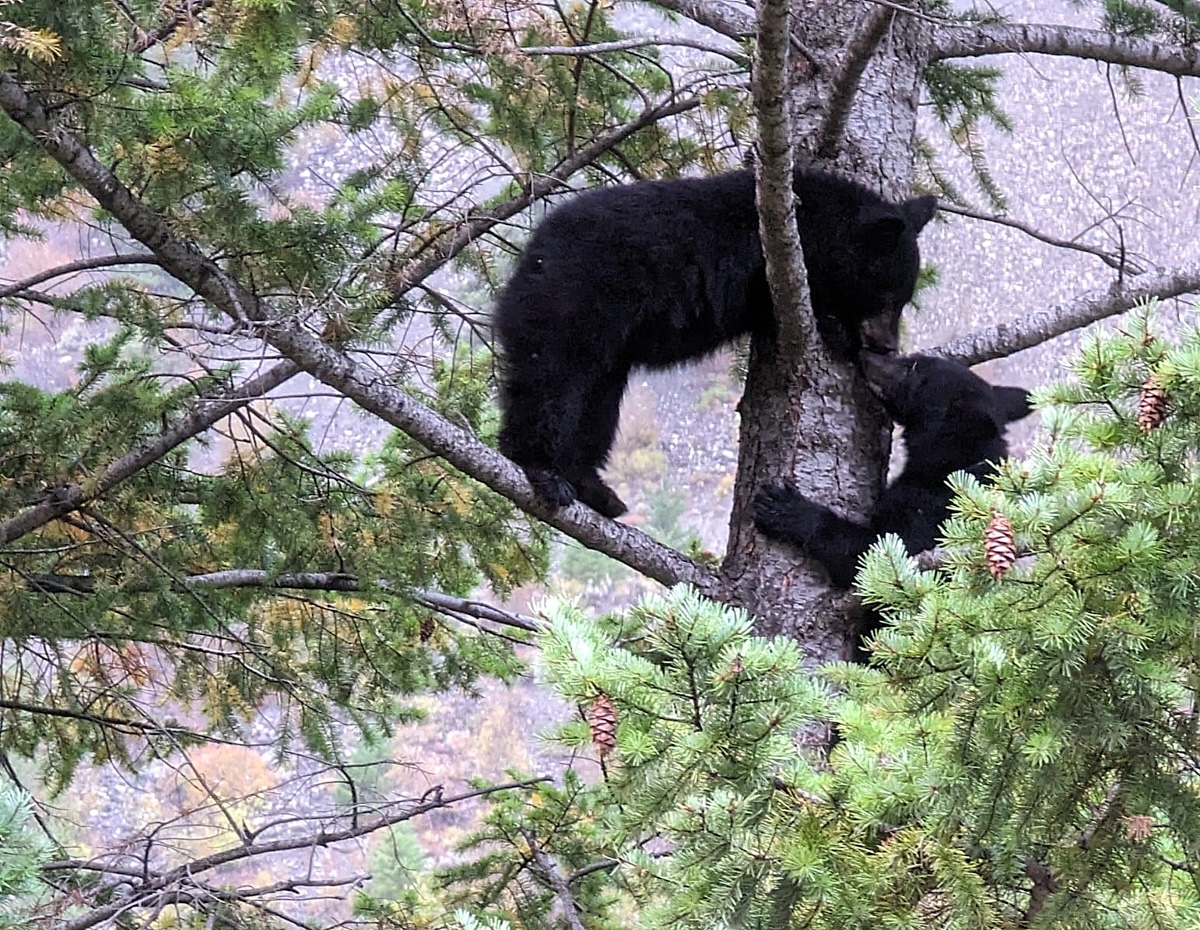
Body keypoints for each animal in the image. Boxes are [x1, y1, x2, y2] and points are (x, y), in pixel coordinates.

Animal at [494, 167, 938, 519]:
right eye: (886, 295)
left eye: (904, 298)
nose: (887, 346)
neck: (807, 225)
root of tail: (529, 259)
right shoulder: (757, 263)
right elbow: (784, 303)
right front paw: (839, 331)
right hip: (573, 302)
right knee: (551, 382)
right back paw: (541, 469)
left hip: (607, 355)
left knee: (596, 408)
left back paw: (594, 488)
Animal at [753, 352, 1032, 660]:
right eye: (916, 359)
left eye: (914, 368)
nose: (866, 355)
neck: (951, 466)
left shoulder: (934, 516)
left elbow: (875, 556)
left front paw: (787, 509)